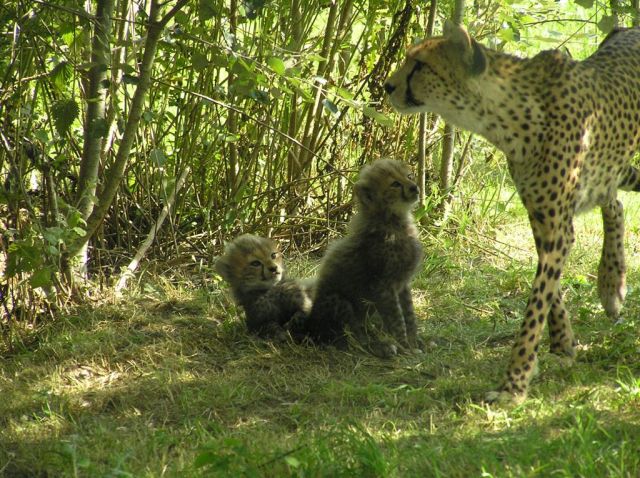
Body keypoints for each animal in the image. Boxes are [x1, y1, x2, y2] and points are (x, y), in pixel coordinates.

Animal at [304, 159, 424, 357]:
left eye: (409, 176)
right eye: (395, 184)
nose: (414, 187)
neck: (392, 221)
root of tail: (310, 322)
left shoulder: (403, 283)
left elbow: (409, 314)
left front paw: (415, 341)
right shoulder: (383, 286)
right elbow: (397, 319)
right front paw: (405, 346)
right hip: (340, 302)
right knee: (349, 336)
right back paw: (380, 346)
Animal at [384, 21, 640, 403]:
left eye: (420, 66)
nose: (387, 86)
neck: (505, 116)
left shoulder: (557, 226)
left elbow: (536, 304)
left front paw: (514, 384)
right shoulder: (541, 217)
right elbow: (551, 292)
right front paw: (562, 344)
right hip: (611, 172)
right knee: (614, 201)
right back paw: (612, 284)